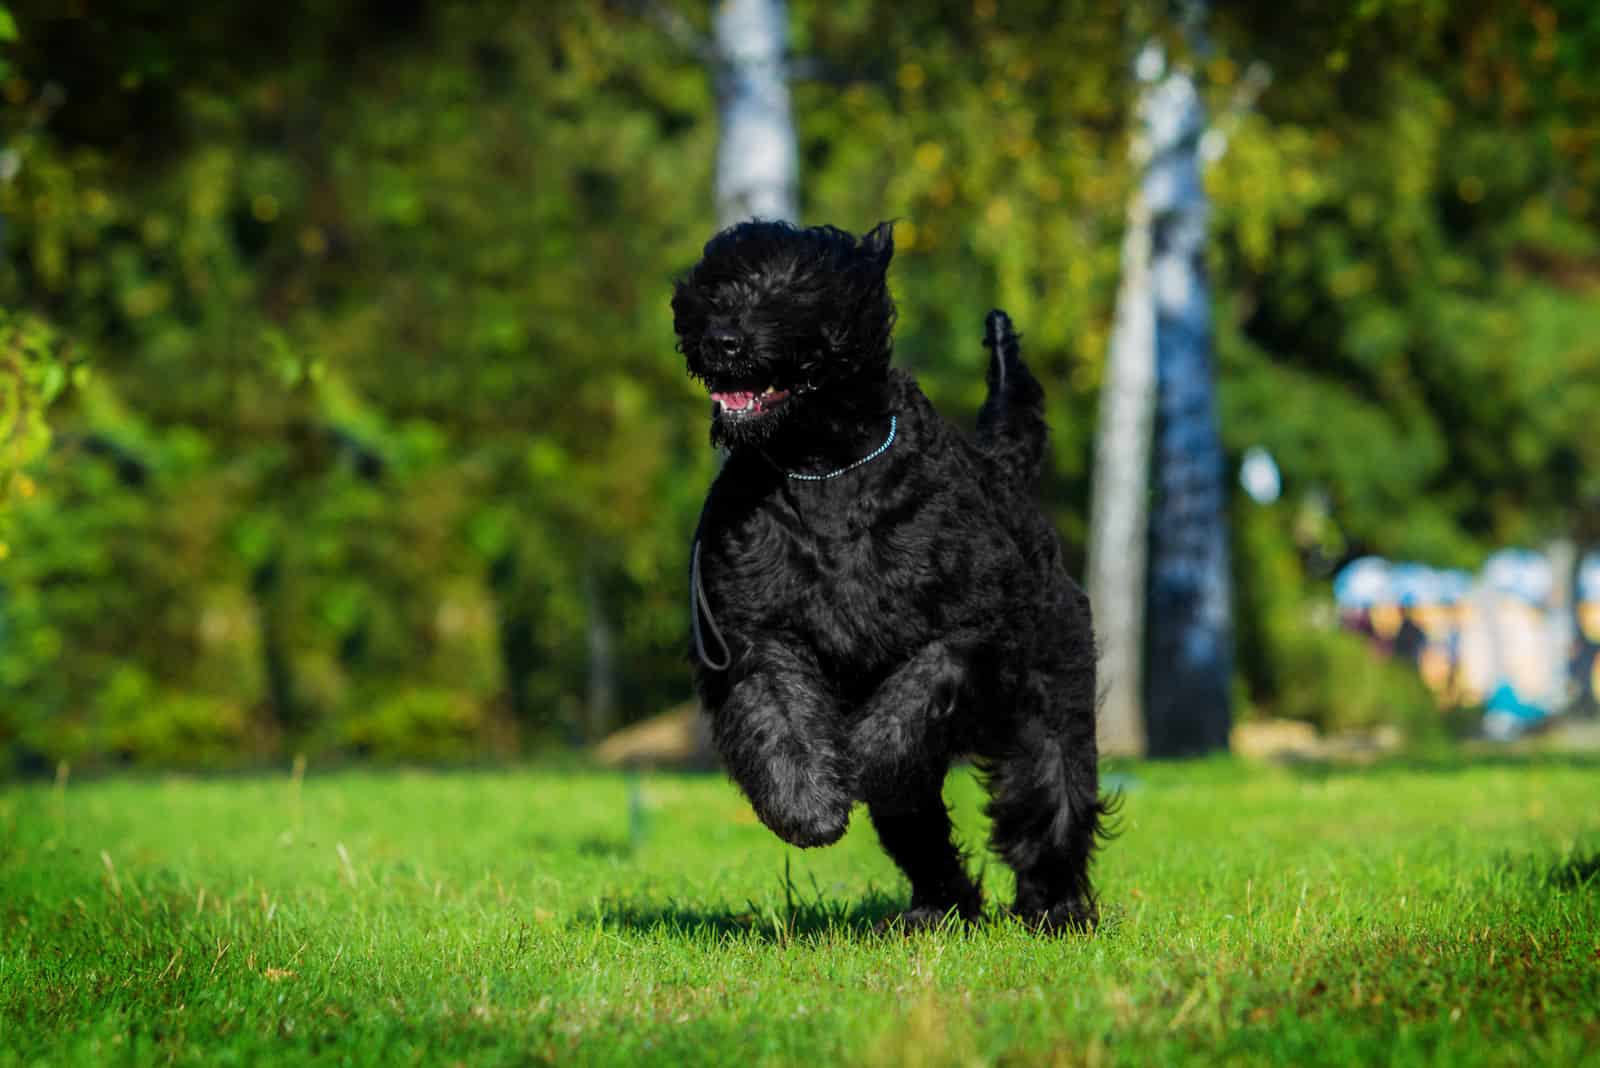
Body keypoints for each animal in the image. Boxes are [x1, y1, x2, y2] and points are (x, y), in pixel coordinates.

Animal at [668, 220, 1107, 927]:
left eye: (793, 288)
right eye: (710, 289)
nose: (721, 340)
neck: (823, 467)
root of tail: (1007, 470)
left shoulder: (970, 631)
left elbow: (914, 694)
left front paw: (859, 759)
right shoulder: (755, 630)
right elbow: (778, 712)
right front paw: (808, 803)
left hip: (1050, 701)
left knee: (1050, 802)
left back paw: (1056, 908)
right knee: (921, 832)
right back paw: (940, 909)